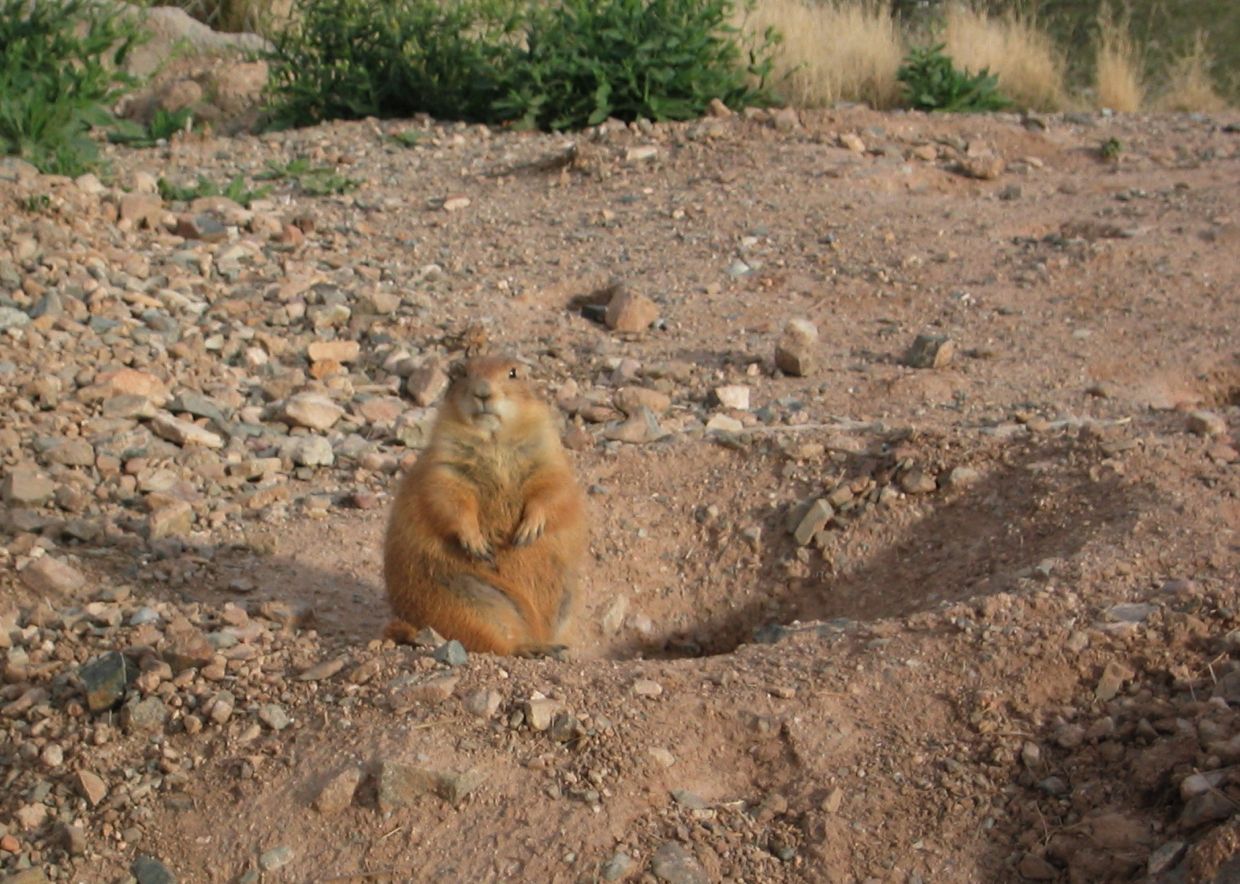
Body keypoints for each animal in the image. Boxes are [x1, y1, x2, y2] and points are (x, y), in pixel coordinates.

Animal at [382, 355, 589, 657]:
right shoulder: (444, 467)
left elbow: (552, 489)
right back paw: (533, 647)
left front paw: (527, 531)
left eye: (513, 373)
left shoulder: (549, 458)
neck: (494, 441)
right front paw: (478, 544)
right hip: (471, 604)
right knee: (499, 644)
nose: (482, 392)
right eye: (462, 373)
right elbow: (449, 498)